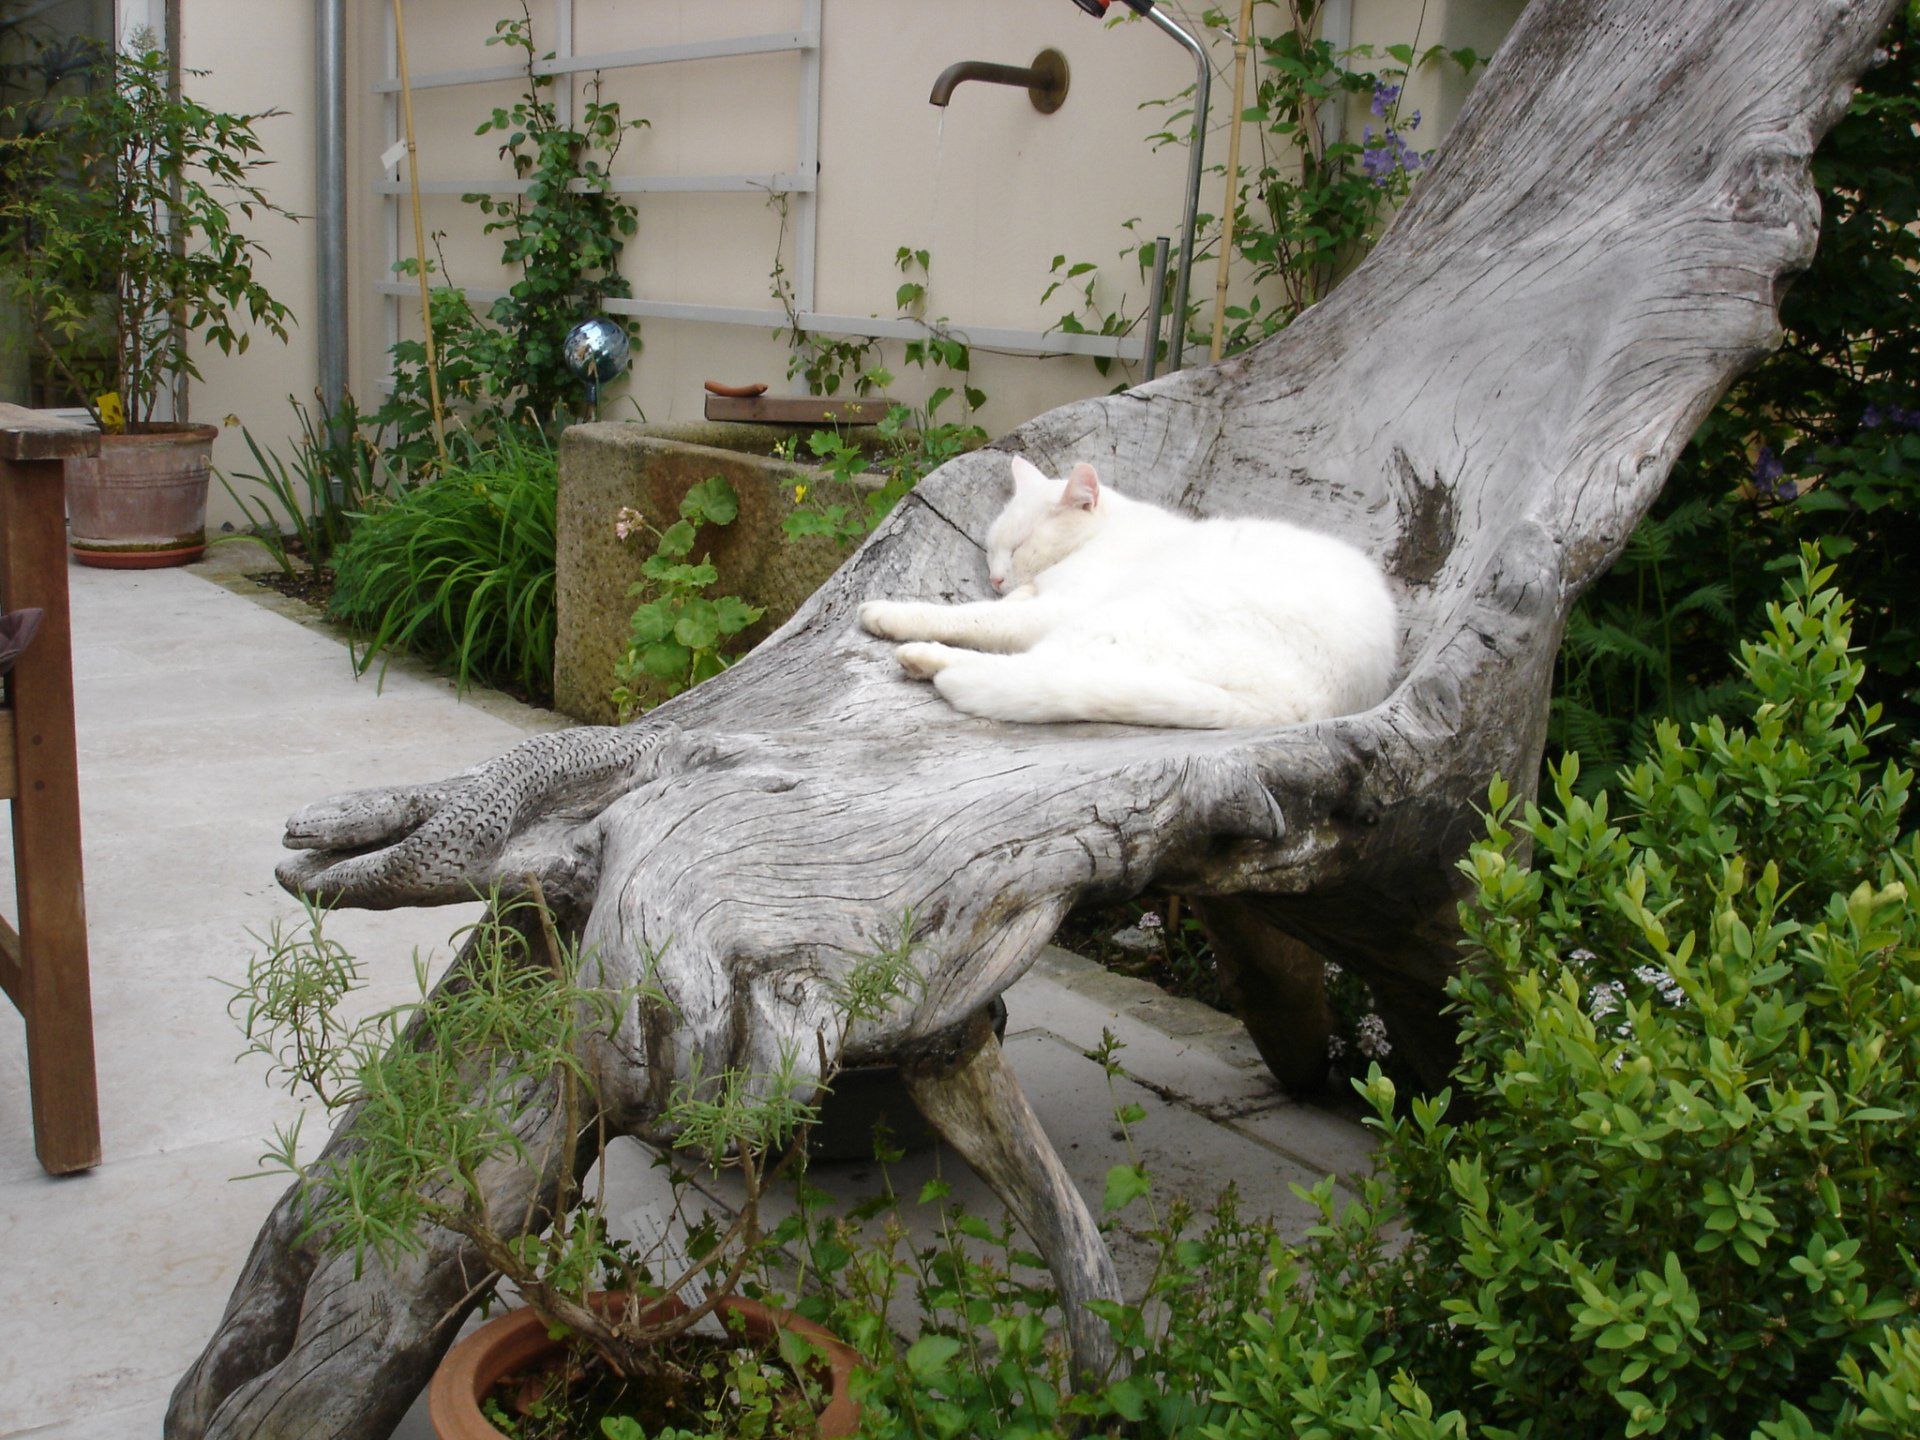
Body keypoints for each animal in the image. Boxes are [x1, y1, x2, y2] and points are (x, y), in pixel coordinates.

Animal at [864, 456, 1405, 733]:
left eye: (1017, 546)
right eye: (992, 549)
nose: (996, 577)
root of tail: (1309, 708)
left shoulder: (1055, 608)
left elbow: (974, 617)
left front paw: (887, 612)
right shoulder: (1037, 595)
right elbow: (1000, 607)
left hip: (1116, 621)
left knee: (1036, 668)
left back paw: (924, 658)